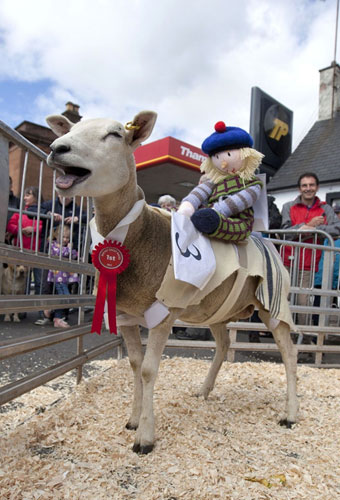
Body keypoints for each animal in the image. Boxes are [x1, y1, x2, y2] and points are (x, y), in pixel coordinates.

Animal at [45, 111, 298, 456]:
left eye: (115, 134)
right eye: (70, 129)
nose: (57, 148)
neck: (139, 237)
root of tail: (269, 242)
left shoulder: (163, 313)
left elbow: (149, 370)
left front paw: (145, 438)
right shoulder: (126, 315)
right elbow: (135, 365)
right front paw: (133, 420)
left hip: (274, 303)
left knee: (288, 352)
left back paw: (290, 414)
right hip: (217, 309)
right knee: (223, 345)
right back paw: (204, 391)